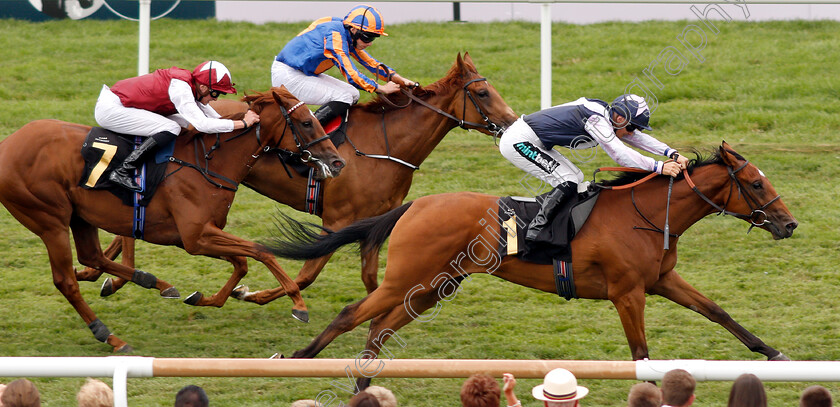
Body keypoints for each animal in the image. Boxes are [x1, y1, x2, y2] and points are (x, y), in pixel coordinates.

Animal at [0, 87, 344, 354]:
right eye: (307, 123)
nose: (337, 161)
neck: (208, 162)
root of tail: (8, 144)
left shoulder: (197, 236)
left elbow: (242, 262)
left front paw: (205, 297)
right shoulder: (195, 236)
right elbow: (261, 251)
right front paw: (298, 304)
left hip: (80, 216)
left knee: (91, 257)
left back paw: (155, 282)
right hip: (50, 219)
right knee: (65, 281)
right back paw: (109, 335)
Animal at [79, 51, 520, 306]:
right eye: (482, 94)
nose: (513, 122)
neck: (384, 144)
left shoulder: (371, 223)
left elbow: (371, 279)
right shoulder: (338, 219)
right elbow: (307, 275)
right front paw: (252, 293)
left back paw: (102, 275)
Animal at [266, 144, 796, 388]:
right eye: (754, 183)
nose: (789, 224)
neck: (645, 213)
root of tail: (416, 204)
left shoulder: (661, 280)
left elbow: (718, 312)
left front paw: (774, 355)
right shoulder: (627, 292)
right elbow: (641, 354)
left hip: (436, 285)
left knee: (380, 329)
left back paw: (363, 383)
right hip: (406, 278)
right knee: (352, 315)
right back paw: (299, 358)